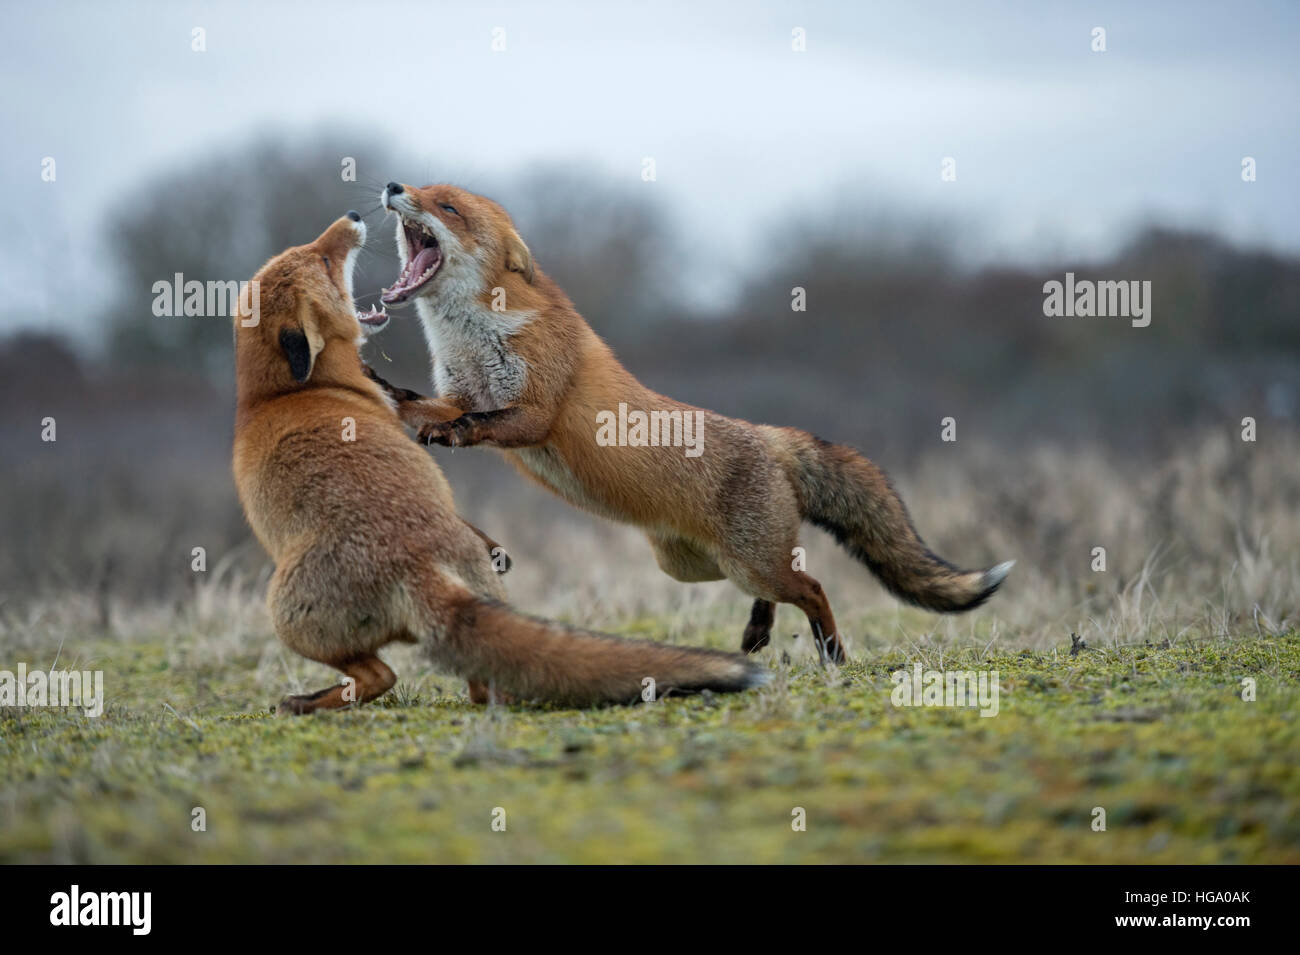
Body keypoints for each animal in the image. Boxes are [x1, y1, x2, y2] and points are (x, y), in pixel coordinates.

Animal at [231, 214, 769, 712]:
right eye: (324, 259)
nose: (353, 217)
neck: (275, 396)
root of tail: (413, 563)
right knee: (473, 683)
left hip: (284, 618)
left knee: (384, 677)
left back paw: (304, 702)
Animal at [369, 180, 1013, 665]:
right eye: (425, 189)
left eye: (448, 207)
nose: (394, 185)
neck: (476, 338)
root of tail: (768, 436)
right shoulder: (458, 391)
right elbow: (421, 404)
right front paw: (384, 393)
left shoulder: (535, 410)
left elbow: (488, 422)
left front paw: (452, 434)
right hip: (696, 566)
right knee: (783, 583)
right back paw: (758, 631)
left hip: (749, 561)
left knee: (812, 587)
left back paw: (832, 654)